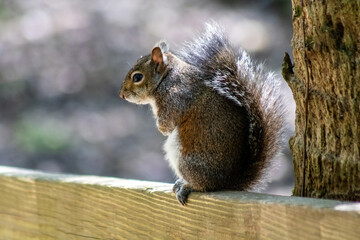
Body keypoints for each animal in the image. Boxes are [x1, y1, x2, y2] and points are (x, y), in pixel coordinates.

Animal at [119, 23, 286, 205]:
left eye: (137, 77)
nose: (122, 95)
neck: (166, 78)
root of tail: (227, 183)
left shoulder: (175, 99)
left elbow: (167, 125)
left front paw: (161, 128)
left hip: (186, 160)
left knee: (203, 186)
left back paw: (186, 186)